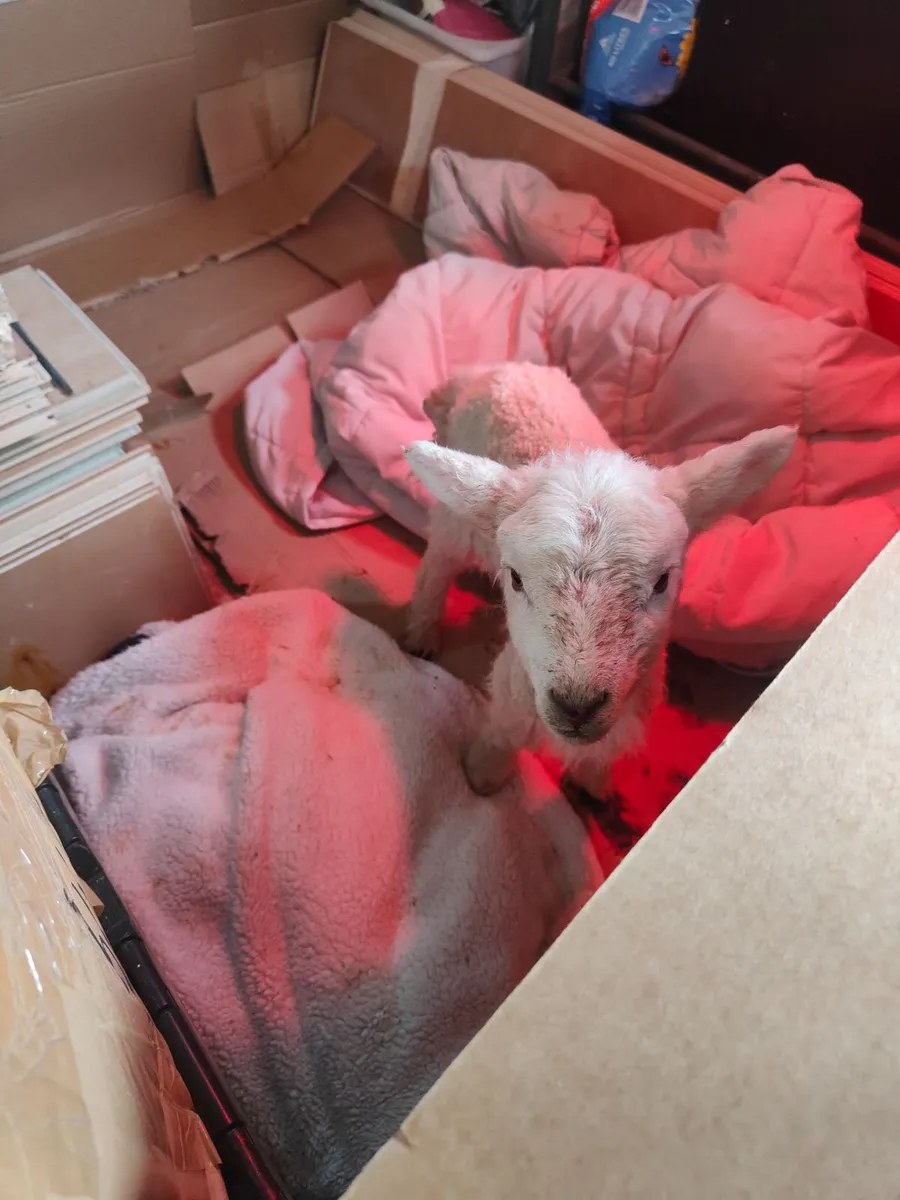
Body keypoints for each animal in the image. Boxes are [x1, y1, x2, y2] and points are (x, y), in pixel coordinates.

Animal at [404, 363, 796, 797]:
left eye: (663, 581)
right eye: (516, 579)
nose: (577, 706)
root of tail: (495, 369)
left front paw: (595, 786)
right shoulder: (512, 694)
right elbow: (498, 738)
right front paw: (482, 779)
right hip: (457, 523)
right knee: (437, 567)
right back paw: (420, 635)